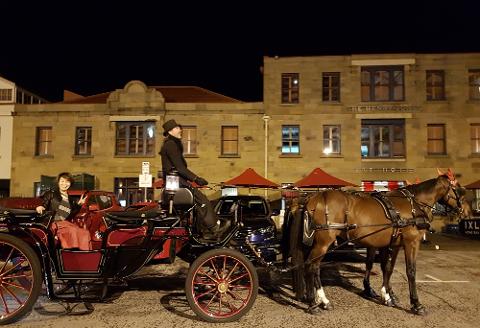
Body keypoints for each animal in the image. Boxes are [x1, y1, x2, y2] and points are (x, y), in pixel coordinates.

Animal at [288, 174, 472, 316]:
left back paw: (322, 301)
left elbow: (387, 268)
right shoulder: (411, 242)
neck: (414, 205)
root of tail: (312, 198)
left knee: (314, 268)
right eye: (458, 190)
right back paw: (313, 304)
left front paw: (387, 295)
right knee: (311, 267)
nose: (467, 212)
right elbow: (411, 271)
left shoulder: (393, 243)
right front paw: (416, 304)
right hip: (323, 242)